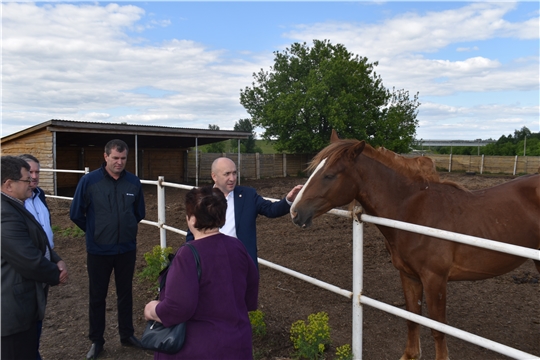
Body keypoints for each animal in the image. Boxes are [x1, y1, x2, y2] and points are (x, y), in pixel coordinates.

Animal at [292, 132, 540, 360]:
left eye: (329, 175)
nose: (295, 211)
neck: (413, 211)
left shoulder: (435, 280)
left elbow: (438, 328)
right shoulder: (409, 276)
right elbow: (412, 318)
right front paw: (410, 354)